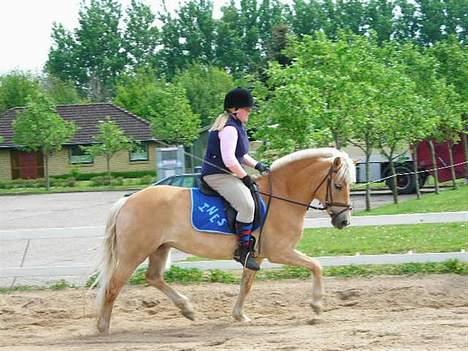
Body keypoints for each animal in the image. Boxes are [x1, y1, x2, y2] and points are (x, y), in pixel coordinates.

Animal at [95, 147, 354, 334]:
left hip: (160, 248)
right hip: (134, 253)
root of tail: (128, 200)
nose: (344, 221)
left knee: (153, 277)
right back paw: (103, 327)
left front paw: (239, 315)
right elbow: (316, 266)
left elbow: (246, 285)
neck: (282, 195)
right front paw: (316, 307)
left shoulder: (256, 256)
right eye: (338, 185)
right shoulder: (280, 252)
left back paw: (187, 309)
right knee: (113, 285)